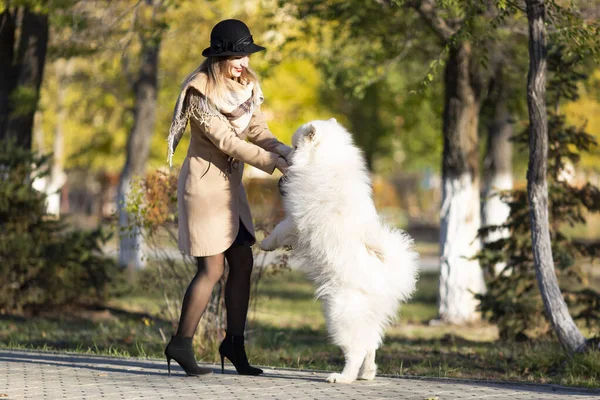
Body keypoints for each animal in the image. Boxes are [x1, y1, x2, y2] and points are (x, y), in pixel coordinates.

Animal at [260, 119, 420, 384]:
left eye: (296, 146)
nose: (285, 153)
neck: (326, 162)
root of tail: (386, 278)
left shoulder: (295, 219)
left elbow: (280, 229)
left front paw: (265, 244)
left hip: (341, 313)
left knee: (356, 350)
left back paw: (343, 376)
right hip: (366, 316)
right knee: (371, 344)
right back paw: (367, 373)